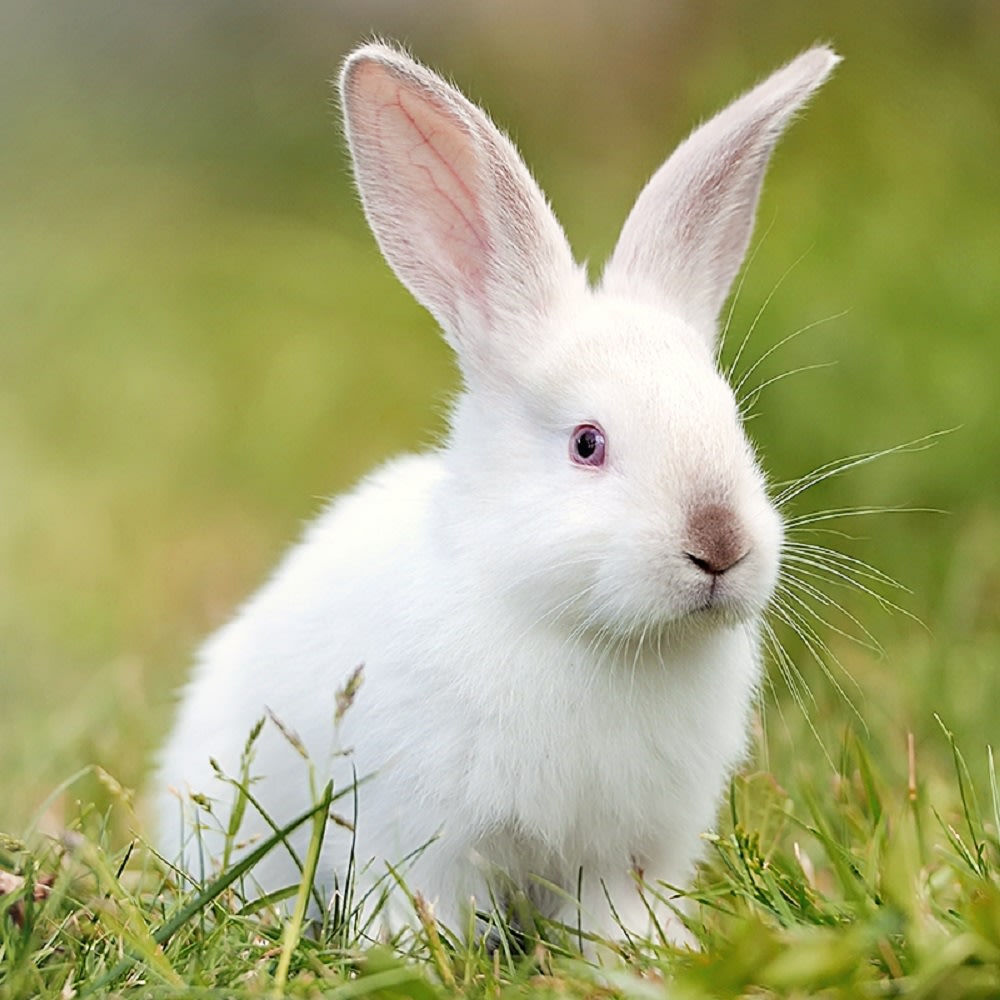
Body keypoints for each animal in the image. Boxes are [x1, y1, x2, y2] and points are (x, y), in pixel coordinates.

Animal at [155, 41, 839, 945]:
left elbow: (615, 915)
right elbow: (419, 900)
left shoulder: (626, 852)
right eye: (587, 444)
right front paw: (415, 952)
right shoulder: (419, 834)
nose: (720, 545)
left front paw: (641, 957)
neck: (582, 631)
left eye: (732, 423)